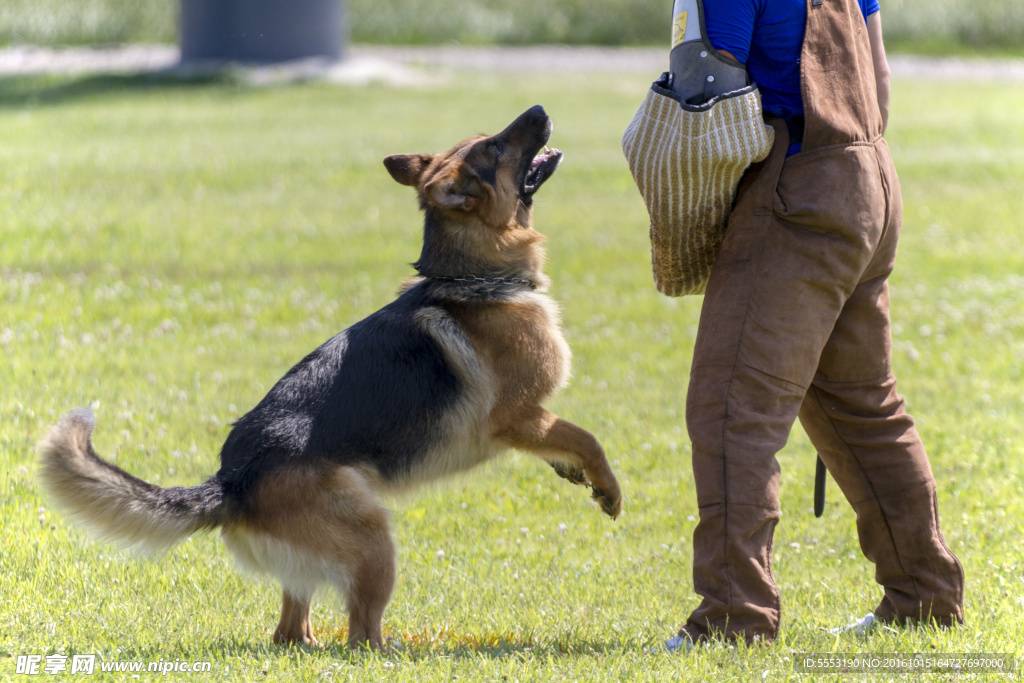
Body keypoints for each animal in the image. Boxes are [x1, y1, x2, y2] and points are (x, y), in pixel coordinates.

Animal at [39, 105, 622, 651]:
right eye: (497, 146)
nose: (540, 110)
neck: (475, 275)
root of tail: (230, 481)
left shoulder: (531, 422)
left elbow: (567, 442)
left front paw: (577, 476)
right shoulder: (518, 417)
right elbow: (587, 437)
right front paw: (610, 490)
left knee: (291, 630)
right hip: (374, 540)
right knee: (361, 634)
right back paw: (393, 654)